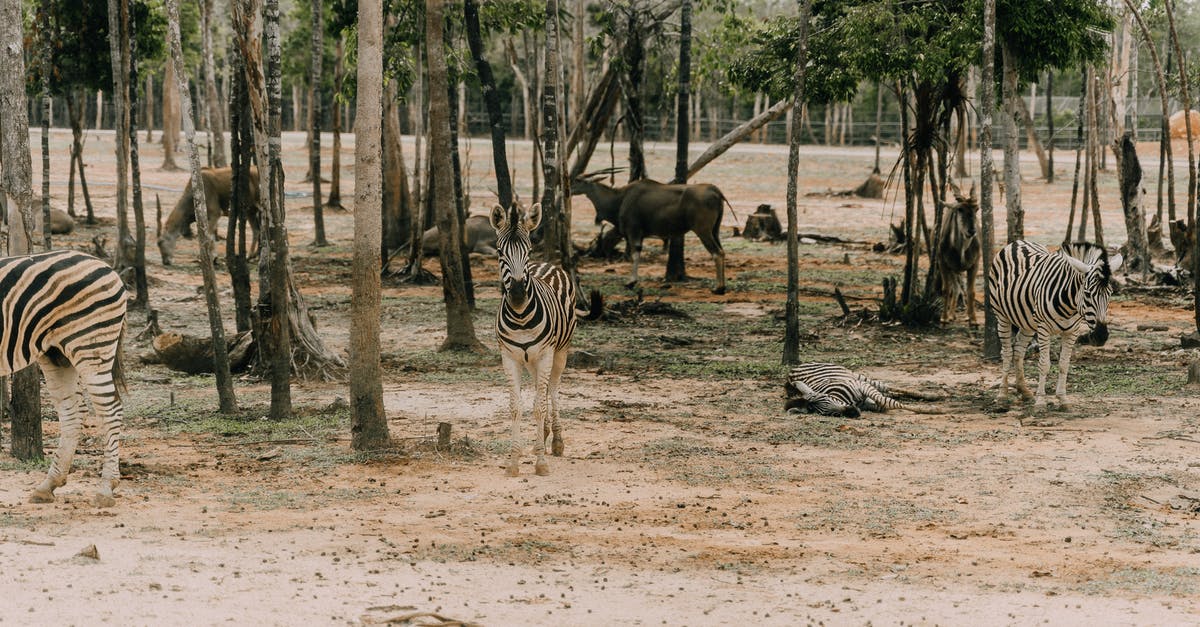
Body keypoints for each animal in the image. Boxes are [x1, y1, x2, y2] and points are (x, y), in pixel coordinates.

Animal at [0, 247, 129, 502]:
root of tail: (107, 266)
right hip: (57, 354)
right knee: (73, 413)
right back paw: (49, 484)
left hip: (91, 346)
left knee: (110, 411)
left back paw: (106, 487)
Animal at [487, 202, 600, 475]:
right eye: (500, 252)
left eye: (528, 250)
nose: (518, 294)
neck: (520, 317)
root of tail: (549, 263)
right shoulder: (509, 357)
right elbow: (516, 407)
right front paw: (514, 461)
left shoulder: (545, 354)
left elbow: (539, 406)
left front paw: (541, 462)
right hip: (530, 359)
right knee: (544, 389)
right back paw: (546, 434)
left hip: (559, 352)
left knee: (554, 388)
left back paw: (556, 440)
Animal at [573, 174, 729, 294]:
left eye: (578, 180)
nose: (569, 190)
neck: (621, 198)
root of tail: (715, 191)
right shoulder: (639, 235)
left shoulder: (634, 231)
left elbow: (635, 254)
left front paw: (631, 282)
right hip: (715, 231)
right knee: (722, 251)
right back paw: (722, 287)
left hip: (703, 231)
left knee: (717, 253)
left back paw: (718, 288)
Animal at [782, 360, 940, 415]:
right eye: (828, 414)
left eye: (828, 399)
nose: (853, 412)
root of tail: (793, 369)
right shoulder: (869, 404)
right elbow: (885, 404)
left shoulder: (862, 386)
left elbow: (890, 403)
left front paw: (936, 410)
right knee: (889, 392)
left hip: (857, 376)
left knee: (889, 388)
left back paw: (934, 396)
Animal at [988, 236, 1118, 408]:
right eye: (1088, 293)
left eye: (1110, 293)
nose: (1101, 336)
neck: (1069, 306)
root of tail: (1017, 242)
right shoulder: (1044, 328)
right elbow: (1044, 364)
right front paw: (1041, 402)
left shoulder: (1072, 331)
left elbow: (1064, 364)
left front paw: (1063, 400)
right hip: (1002, 316)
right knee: (1007, 352)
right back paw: (1002, 395)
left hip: (1027, 322)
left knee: (1018, 350)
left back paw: (1025, 391)